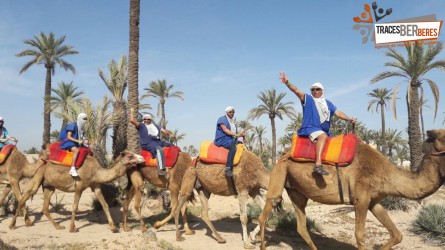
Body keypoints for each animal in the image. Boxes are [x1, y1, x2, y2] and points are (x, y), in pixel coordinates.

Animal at [8, 149, 143, 233]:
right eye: (130, 156)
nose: (142, 158)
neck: (96, 171)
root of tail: (41, 162)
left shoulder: (96, 186)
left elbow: (105, 205)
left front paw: (114, 228)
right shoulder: (79, 186)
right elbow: (74, 207)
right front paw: (72, 228)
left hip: (49, 186)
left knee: (45, 207)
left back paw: (58, 226)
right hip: (38, 177)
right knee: (22, 199)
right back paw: (12, 225)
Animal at [256, 129, 444, 250]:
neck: (383, 171)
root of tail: (283, 154)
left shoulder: (374, 201)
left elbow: (397, 235)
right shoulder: (360, 199)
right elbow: (360, 236)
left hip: (297, 192)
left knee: (301, 226)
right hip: (280, 171)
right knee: (266, 211)